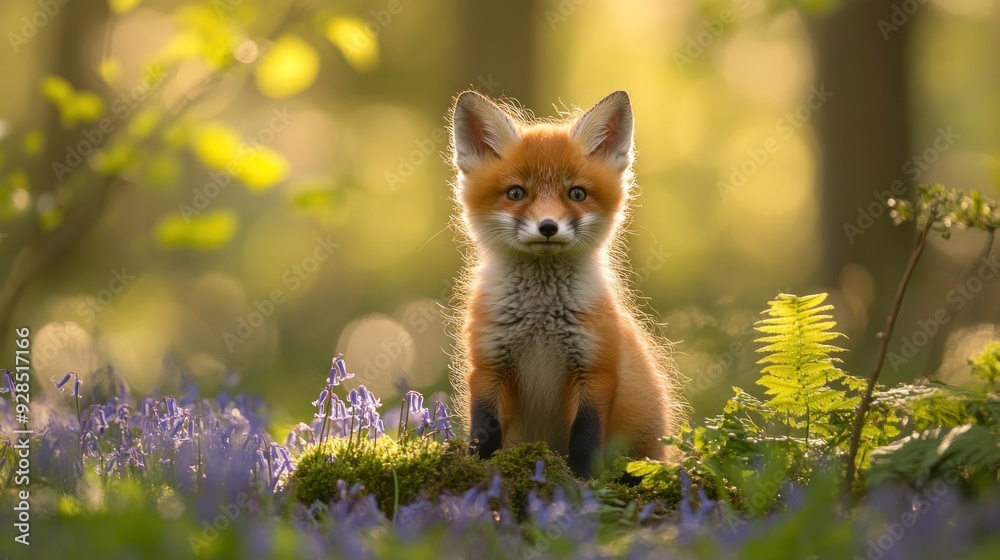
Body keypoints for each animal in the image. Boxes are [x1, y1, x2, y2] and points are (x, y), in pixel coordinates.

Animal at [448, 89, 682, 477]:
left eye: (577, 194)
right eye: (516, 193)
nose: (547, 227)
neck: (540, 321)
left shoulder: (594, 368)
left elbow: (585, 436)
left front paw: (583, 482)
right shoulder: (489, 366)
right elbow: (483, 430)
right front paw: (478, 470)